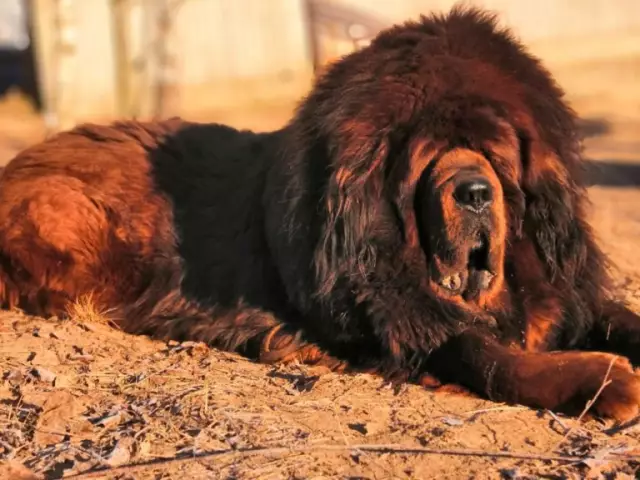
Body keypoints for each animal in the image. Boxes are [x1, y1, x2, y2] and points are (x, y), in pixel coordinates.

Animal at [1, 6, 640, 420]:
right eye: (429, 159)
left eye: (497, 157)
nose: (476, 192)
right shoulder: (398, 324)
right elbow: (483, 352)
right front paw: (601, 380)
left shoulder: (568, 292)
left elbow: (617, 316)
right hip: (68, 215)